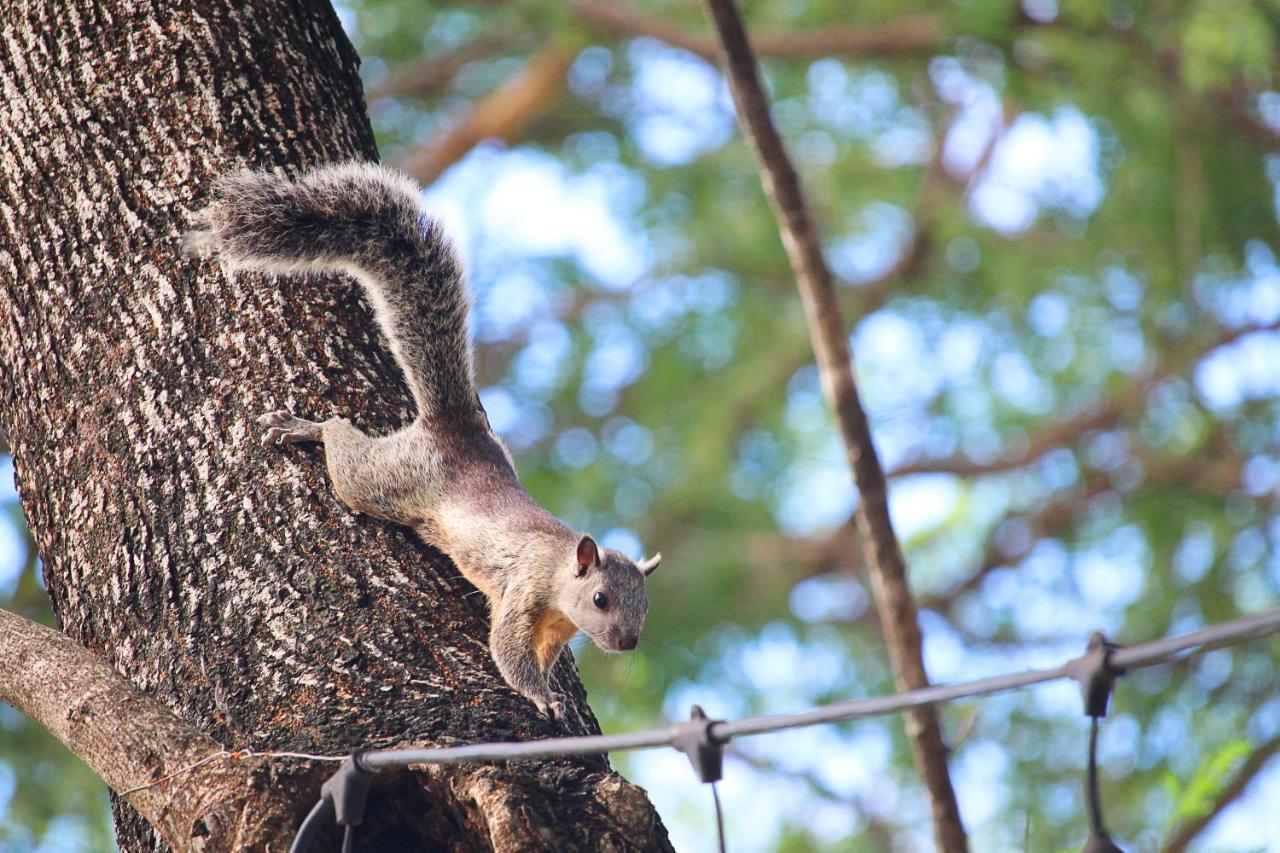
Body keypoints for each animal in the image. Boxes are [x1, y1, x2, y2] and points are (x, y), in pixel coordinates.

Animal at [186, 161, 660, 717]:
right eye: (601, 599)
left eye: (645, 605)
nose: (627, 642)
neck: (561, 574)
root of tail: (454, 427)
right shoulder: (523, 588)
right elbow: (507, 651)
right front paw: (543, 698)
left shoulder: (552, 626)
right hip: (388, 479)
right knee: (344, 445)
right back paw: (306, 427)